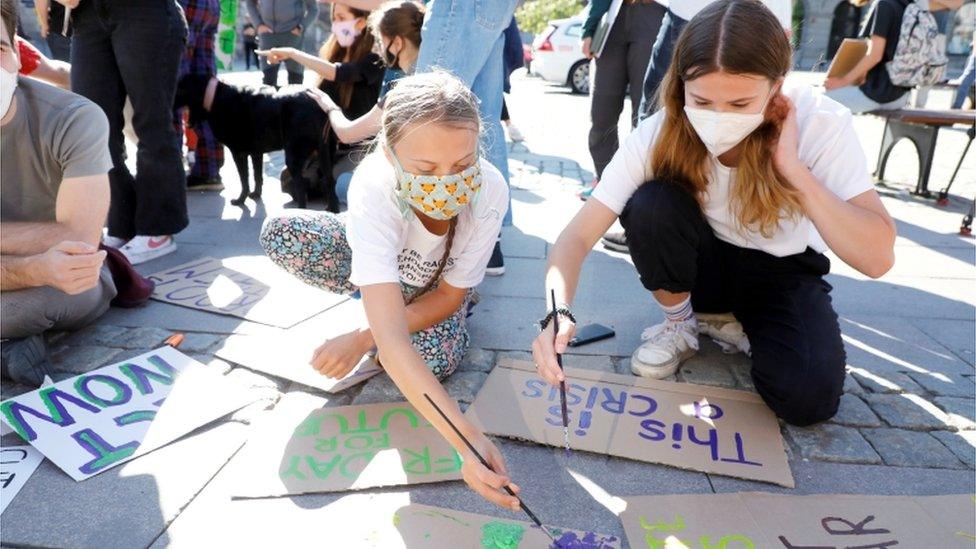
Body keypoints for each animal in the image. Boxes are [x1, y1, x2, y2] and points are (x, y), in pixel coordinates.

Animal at [174, 73, 340, 210]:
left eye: (180, 89)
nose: (170, 103)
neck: (216, 96)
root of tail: (316, 104)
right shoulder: (256, 152)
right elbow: (257, 175)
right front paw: (256, 194)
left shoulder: (238, 153)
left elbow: (244, 179)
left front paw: (240, 200)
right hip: (325, 152)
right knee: (329, 180)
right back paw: (331, 210)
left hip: (294, 156)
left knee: (300, 188)